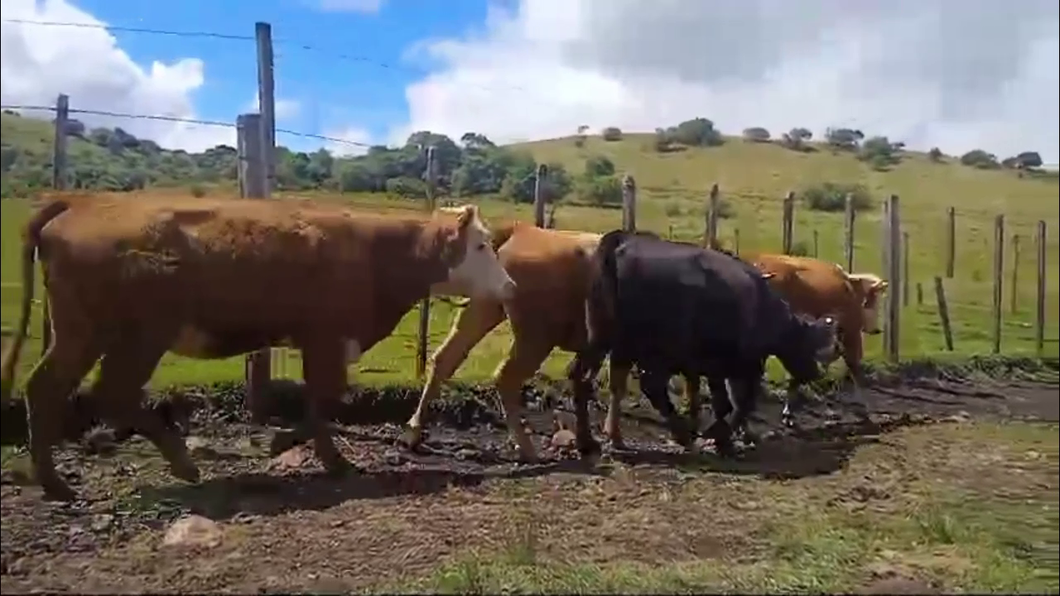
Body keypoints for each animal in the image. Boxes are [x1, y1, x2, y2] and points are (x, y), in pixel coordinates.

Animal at [0, 190, 513, 496]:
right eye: (481, 246)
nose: (509, 286)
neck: (375, 251)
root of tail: (82, 200)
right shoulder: (326, 337)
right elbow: (325, 397)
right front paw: (308, 450)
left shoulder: (322, 340)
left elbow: (322, 400)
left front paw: (313, 452)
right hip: (133, 335)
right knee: (107, 392)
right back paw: (177, 465)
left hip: (83, 333)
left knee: (50, 389)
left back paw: (55, 482)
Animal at [563, 230, 835, 451]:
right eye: (808, 343)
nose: (815, 372)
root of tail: (622, 241)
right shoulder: (742, 364)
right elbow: (740, 402)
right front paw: (721, 435)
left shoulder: (718, 365)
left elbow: (724, 400)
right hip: (648, 349)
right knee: (650, 387)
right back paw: (680, 434)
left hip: (603, 340)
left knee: (582, 377)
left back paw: (589, 440)